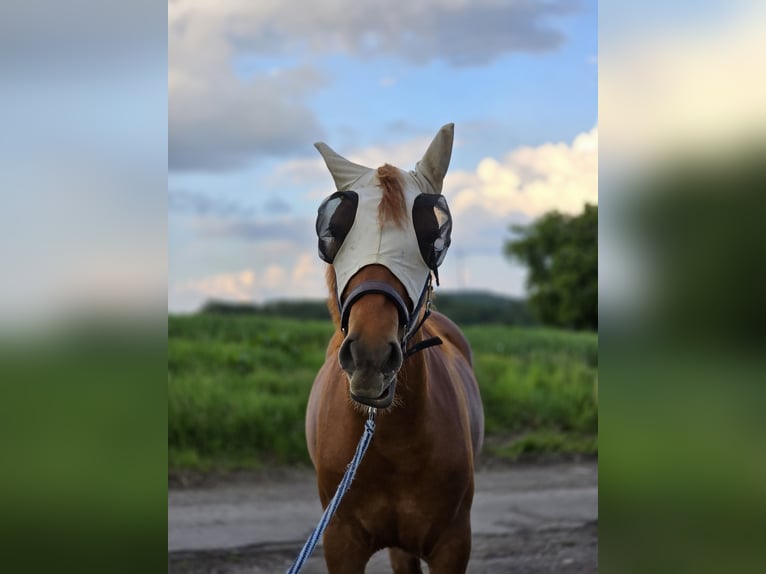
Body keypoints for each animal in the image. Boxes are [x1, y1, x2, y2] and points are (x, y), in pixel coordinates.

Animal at [306, 126, 486, 574]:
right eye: (335, 229)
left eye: (432, 234)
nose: (370, 355)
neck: (390, 442)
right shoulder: (340, 542)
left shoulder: (452, 543)